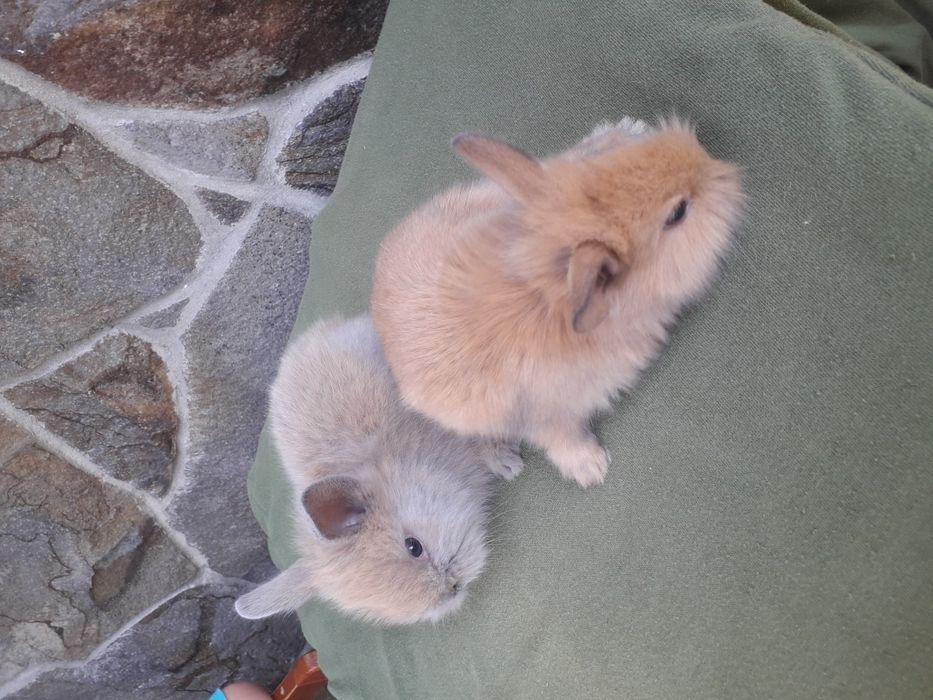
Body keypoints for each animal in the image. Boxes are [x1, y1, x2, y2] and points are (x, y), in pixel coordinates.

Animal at [371, 118, 742, 488]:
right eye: (678, 212)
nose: (712, 163)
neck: (542, 293)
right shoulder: (542, 415)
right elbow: (560, 438)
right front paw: (591, 469)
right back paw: (504, 461)